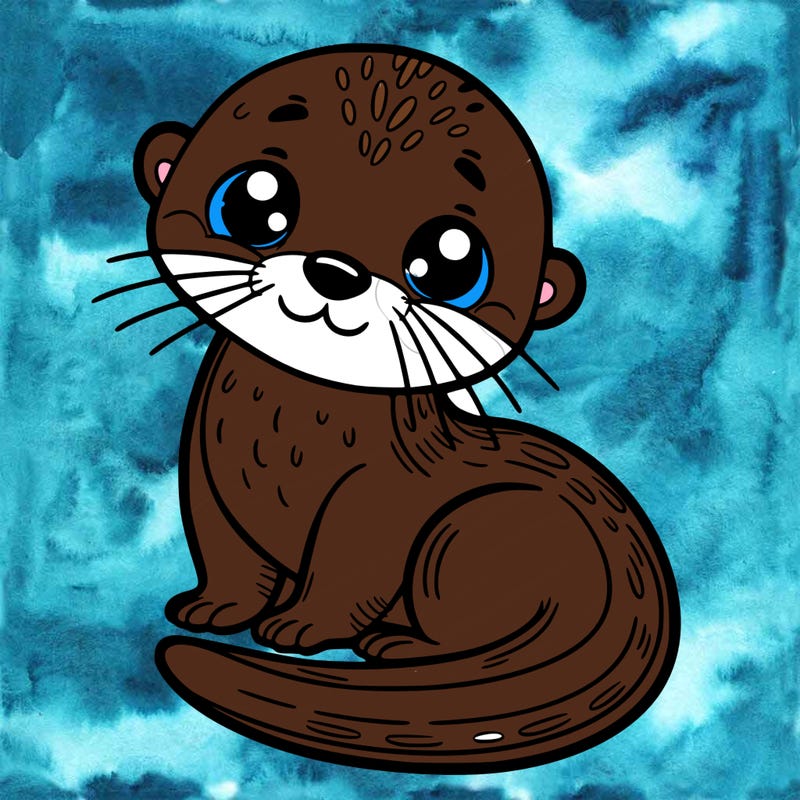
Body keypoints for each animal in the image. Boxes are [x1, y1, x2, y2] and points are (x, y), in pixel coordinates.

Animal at [107, 44, 679, 773]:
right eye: (253, 201)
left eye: (450, 261)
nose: (336, 270)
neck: (282, 438)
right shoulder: (206, 474)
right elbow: (225, 551)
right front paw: (213, 608)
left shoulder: (377, 497)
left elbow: (351, 569)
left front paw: (299, 626)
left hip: (472, 531)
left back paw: (400, 646)